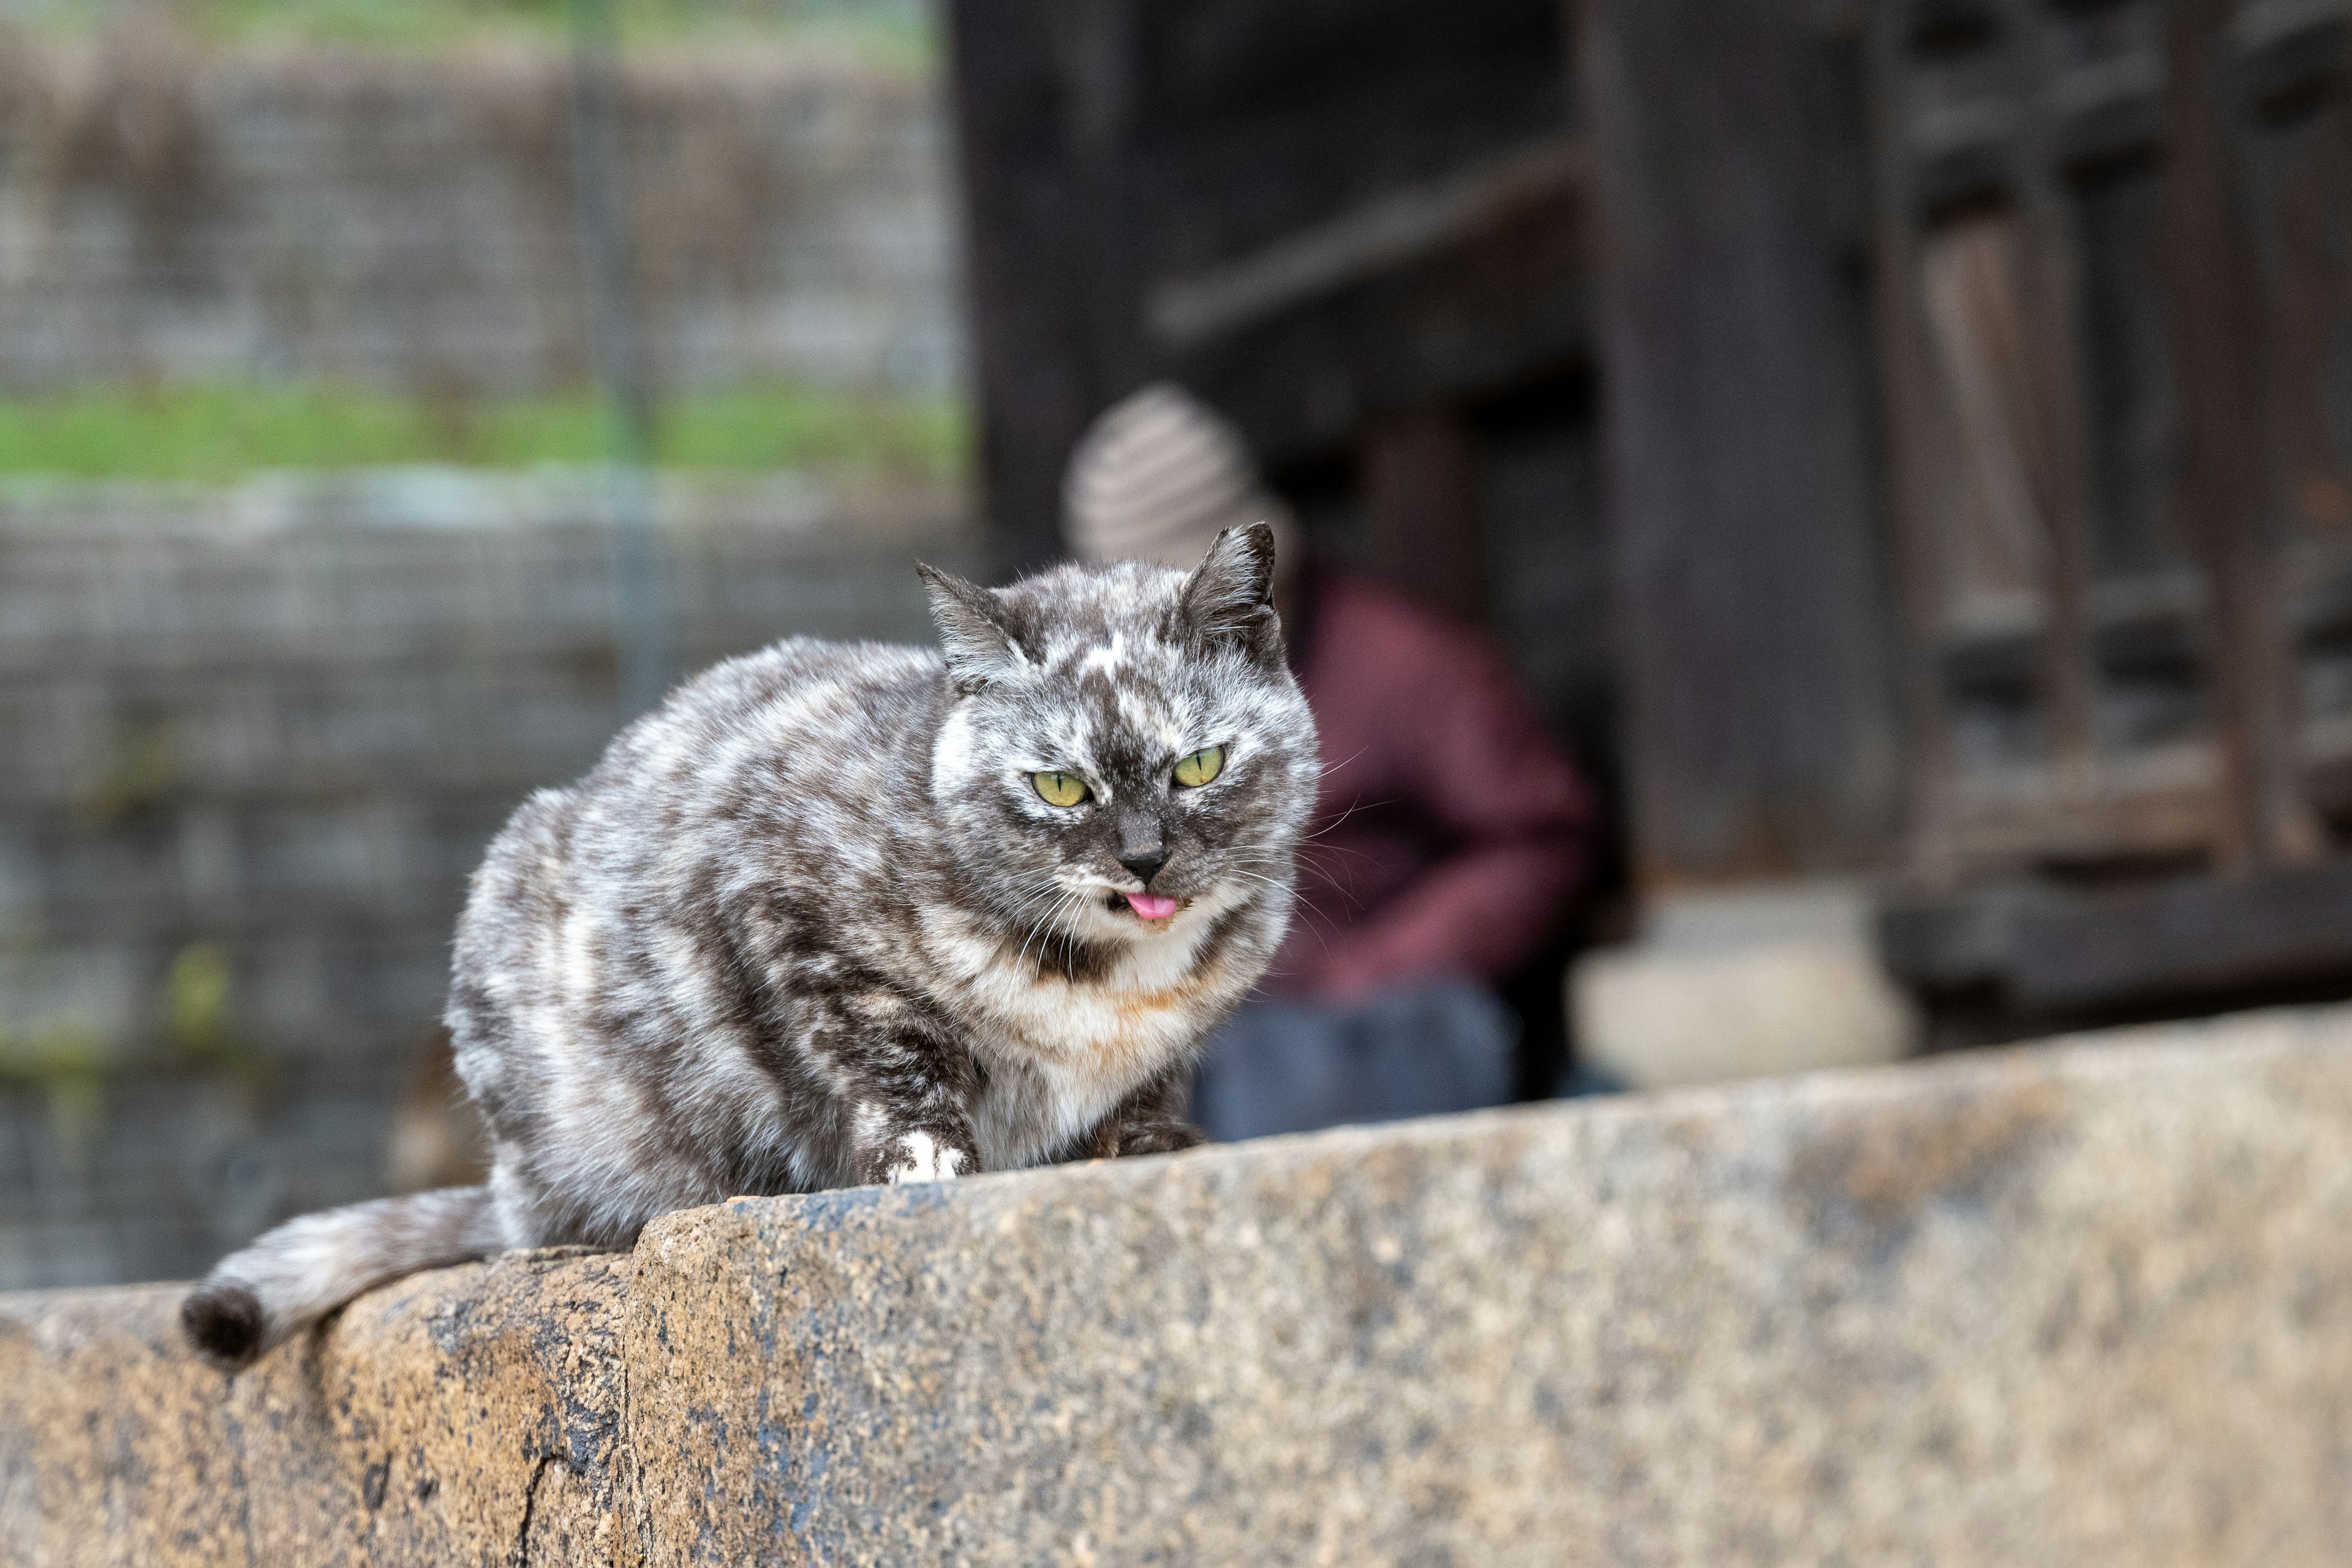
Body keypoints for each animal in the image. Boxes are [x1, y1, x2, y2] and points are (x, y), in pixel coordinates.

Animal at [178, 522, 1326, 1363]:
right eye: (1059, 785)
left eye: (1198, 765)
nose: (1143, 861)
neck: (1114, 992)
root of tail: (505, 1191)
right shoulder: (782, 915)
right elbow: (888, 1066)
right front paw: (930, 1171)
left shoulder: (1175, 1039)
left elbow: (1148, 1091)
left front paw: (1147, 1145)